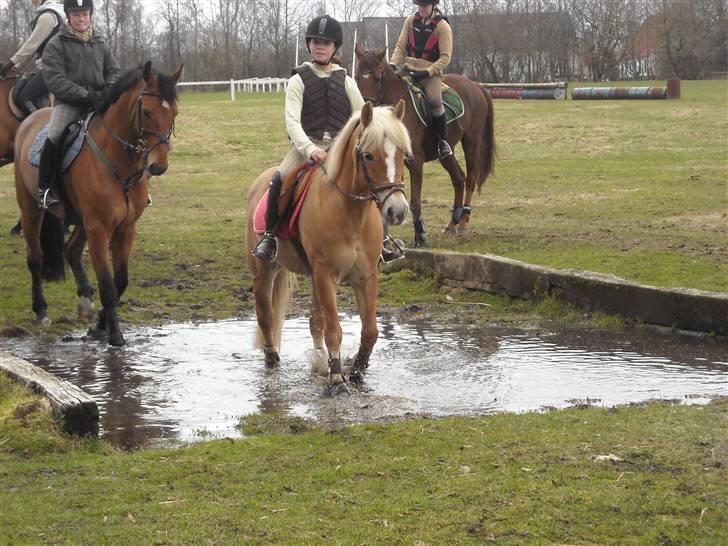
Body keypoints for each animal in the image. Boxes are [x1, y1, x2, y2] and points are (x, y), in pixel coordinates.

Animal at [13, 61, 182, 342]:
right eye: (147, 112)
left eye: (175, 113)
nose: (158, 166)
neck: (119, 163)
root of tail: (31, 119)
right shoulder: (99, 229)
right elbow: (107, 284)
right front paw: (115, 335)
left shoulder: (125, 228)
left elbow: (120, 281)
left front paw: (100, 324)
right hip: (31, 209)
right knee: (35, 257)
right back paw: (41, 310)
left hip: (81, 220)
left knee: (71, 249)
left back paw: (85, 301)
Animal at [247, 100, 412, 392]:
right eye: (368, 156)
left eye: (402, 154)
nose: (397, 211)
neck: (351, 213)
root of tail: (260, 181)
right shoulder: (326, 273)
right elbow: (334, 329)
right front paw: (336, 379)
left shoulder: (366, 276)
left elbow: (370, 330)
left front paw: (357, 370)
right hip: (264, 271)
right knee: (265, 316)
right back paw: (272, 359)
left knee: (315, 320)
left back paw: (319, 359)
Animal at [352, 45, 494, 245]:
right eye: (357, 76)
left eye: (378, 78)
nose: (366, 110)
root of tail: (475, 85)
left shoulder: (415, 162)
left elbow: (414, 202)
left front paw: (420, 235)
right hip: (446, 153)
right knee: (458, 178)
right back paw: (452, 222)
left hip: (471, 142)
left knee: (471, 179)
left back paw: (463, 221)